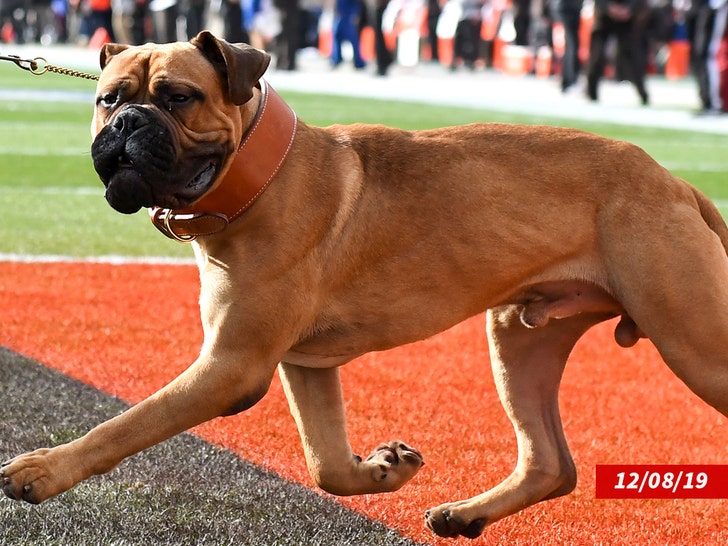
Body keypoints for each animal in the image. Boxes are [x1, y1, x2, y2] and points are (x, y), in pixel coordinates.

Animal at [4, 31, 728, 536]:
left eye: (179, 97)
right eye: (109, 98)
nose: (127, 123)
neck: (257, 175)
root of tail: (675, 183)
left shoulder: (230, 365)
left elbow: (125, 425)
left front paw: (43, 469)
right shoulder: (304, 364)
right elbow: (326, 465)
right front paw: (384, 469)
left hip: (694, 342)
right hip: (521, 337)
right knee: (551, 462)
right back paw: (466, 514)